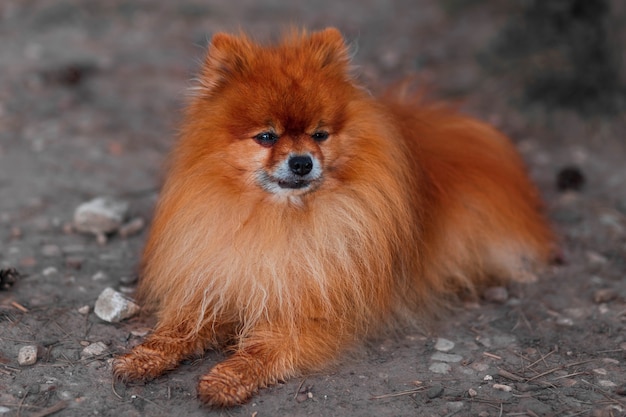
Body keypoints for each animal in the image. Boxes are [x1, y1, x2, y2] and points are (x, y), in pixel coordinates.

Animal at [112, 28, 552, 406]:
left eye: (319, 135)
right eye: (266, 137)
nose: (302, 161)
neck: (278, 219)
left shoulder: (306, 307)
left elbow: (261, 349)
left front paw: (227, 379)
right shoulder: (217, 281)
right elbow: (177, 328)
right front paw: (142, 357)